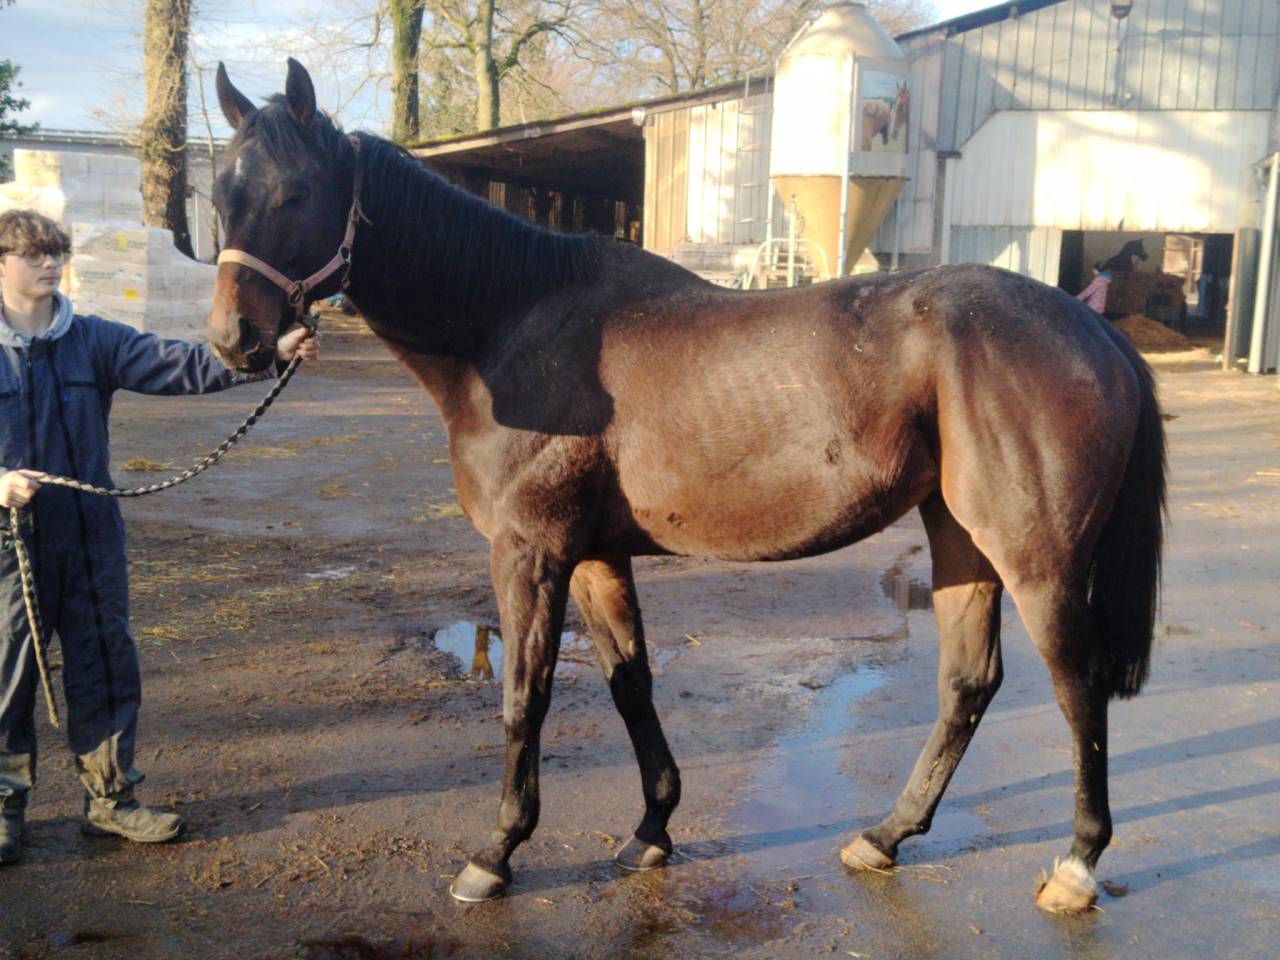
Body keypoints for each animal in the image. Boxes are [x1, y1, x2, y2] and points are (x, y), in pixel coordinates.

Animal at [208, 60, 1166, 916]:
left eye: (296, 193)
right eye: (219, 194)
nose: (233, 341)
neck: (513, 323)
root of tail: (1095, 331)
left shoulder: (530, 552)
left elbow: (525, 695)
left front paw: (496, 854)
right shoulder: (596, 556)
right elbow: (630, 680)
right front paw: (653, 828)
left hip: (1034, 557)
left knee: (1075, 685)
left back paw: (1076, 866)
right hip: (960, 538)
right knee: (969, 682)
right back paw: (885, 837)